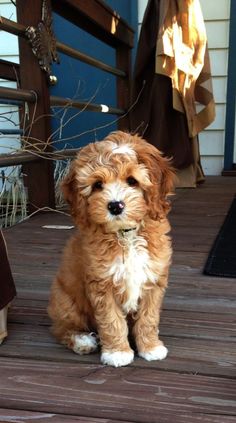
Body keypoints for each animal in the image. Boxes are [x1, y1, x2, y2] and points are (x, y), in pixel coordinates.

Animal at [48, 132, 174, 368]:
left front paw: (151, 347)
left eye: (132, 181)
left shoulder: (153, 279)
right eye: (98, 184)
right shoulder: (102, 284)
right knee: (61, 329)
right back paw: (82, 340)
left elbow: (149, 318)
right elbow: (112, 321)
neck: (125, 235)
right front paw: (118, 352)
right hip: (66, 302)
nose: (116, 206)